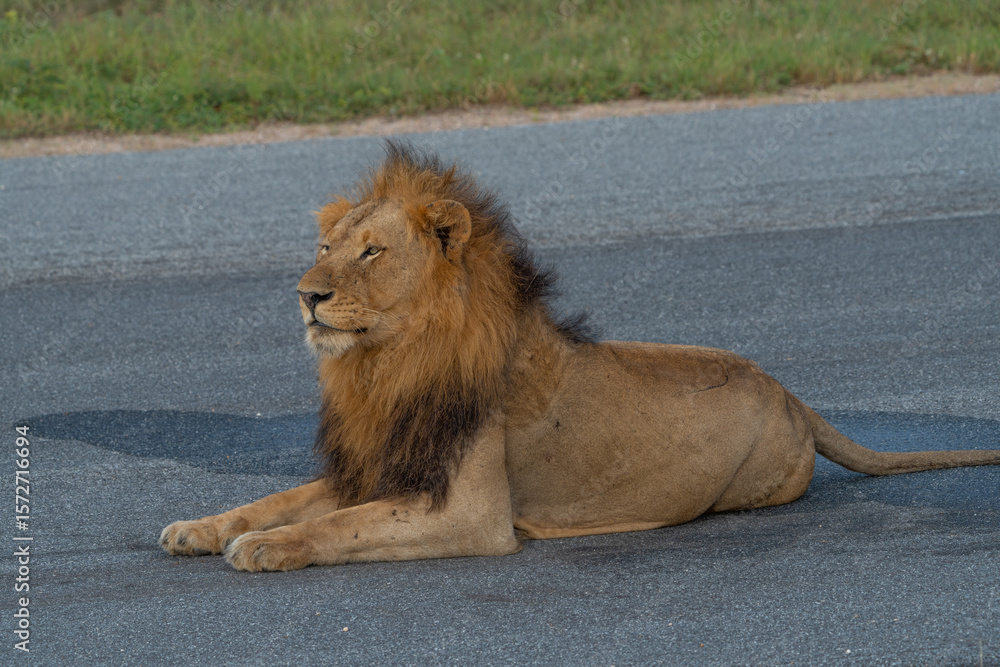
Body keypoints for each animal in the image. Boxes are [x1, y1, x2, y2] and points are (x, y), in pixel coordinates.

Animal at [160, 140, 1000, 571]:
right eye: (324, 247)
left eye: (371, 251)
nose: (306, 294)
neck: (386, 367)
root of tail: (791, 392)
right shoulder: (380, 466)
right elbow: (280, 499)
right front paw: (202, 526)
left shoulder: (470, 514)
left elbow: (341, 526)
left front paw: (264, 546)